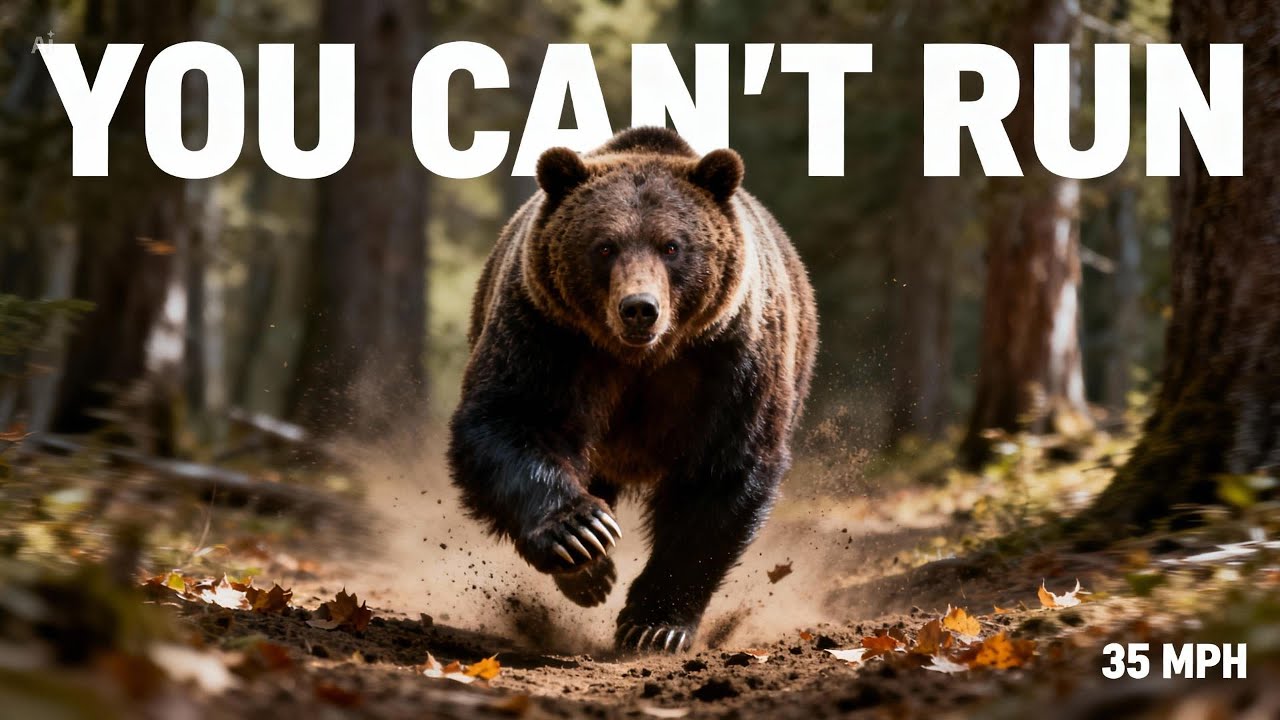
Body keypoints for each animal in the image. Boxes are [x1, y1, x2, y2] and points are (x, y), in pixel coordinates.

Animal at [448, 126, 817, 654]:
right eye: (605, 246)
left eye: (672, 246)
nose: (639, 308)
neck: (643, 357)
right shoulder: (548, 333)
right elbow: (511, 419)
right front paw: (581, 534)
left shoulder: (730, 356)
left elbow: (723, 472)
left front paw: (655, 625)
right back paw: (589, 575)